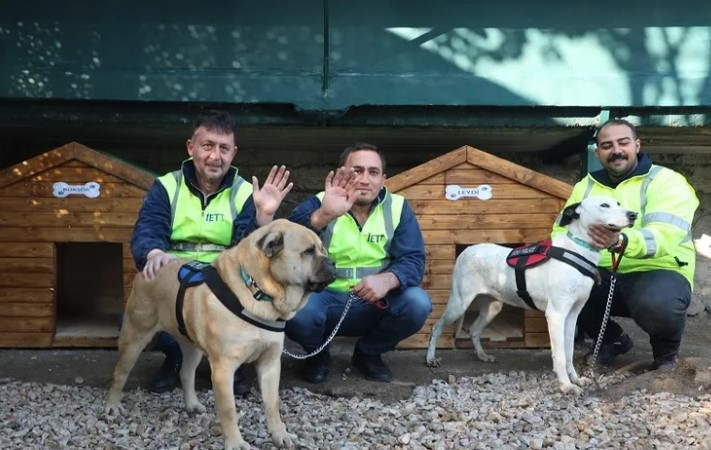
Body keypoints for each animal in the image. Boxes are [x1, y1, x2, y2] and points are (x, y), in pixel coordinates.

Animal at [105, 221, 336, 450]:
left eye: (323, 250)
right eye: (309, 251)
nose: (333, 263)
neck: (258, 291)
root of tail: (148, 269)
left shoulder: (270, 363)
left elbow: (273, 403)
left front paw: (280, 434)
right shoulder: (224, 368)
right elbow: (228, 410)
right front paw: (235, 442)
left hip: (191, 346)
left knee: (186, 373)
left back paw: (192, 404)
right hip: (134, 339)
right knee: (119, 374)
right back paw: (112, 406)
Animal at [426, 197, 636, 394]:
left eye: (618, 203)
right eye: (604, 205)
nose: (633, 215)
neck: (578, 250)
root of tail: (466, 251)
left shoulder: (572, 315)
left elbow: (568, 353)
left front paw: (575, 379)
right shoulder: (556, 315)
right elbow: (560, 356)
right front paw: (565, 386)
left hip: (492, 307)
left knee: (474, 330)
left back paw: (482, 356)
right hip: (458, 304)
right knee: (436, 327)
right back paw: (431, 358)